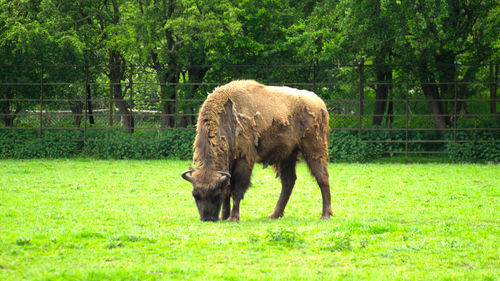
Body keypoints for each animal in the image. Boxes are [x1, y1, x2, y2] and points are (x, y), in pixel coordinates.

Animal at [181, 79, 332, 221]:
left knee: (322, 177)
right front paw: (224, 216)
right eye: (195, 195)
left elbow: (237, 190)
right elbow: (228, 189)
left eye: (216, 193)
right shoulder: (229, 165)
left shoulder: (244, 160)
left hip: (314, 150)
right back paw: (274, 215)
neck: (227, 117)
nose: (207, 219)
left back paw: (325, 215)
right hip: (287, 155)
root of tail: (319, 102)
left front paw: (233, 218)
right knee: (288, 182)